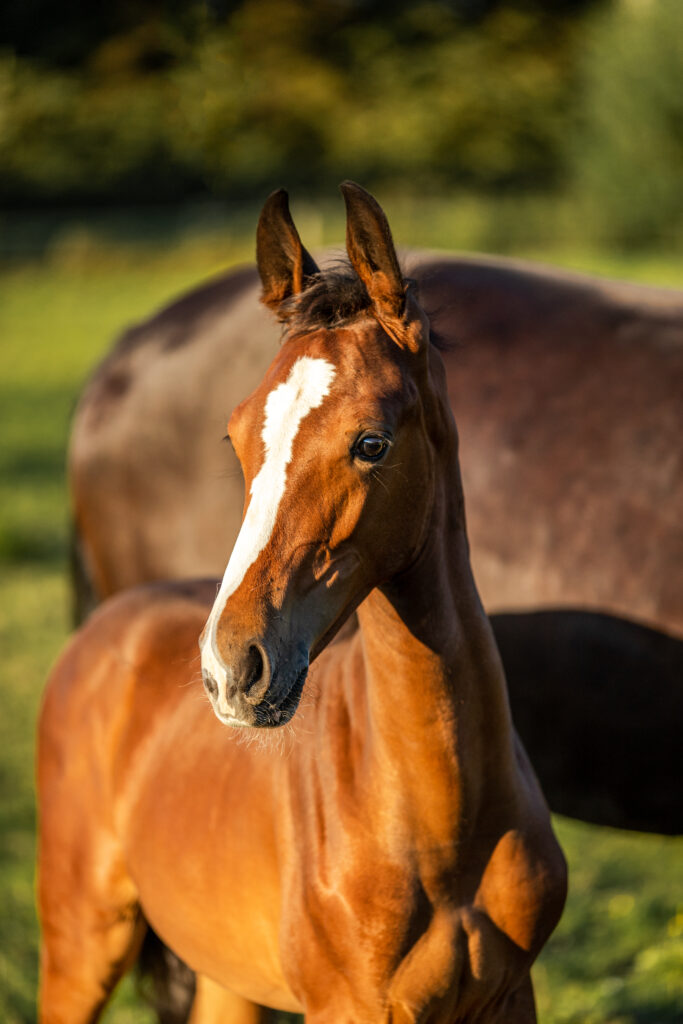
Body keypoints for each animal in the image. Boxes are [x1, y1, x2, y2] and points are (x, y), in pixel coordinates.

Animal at [40, 184, 569, 1024]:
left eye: (371, 443)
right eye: (233, 439)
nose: (232, 671)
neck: (439, 819)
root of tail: (108, 624)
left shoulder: (508, 996)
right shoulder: (350, 1007)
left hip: (226, 978)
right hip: (81, 943)